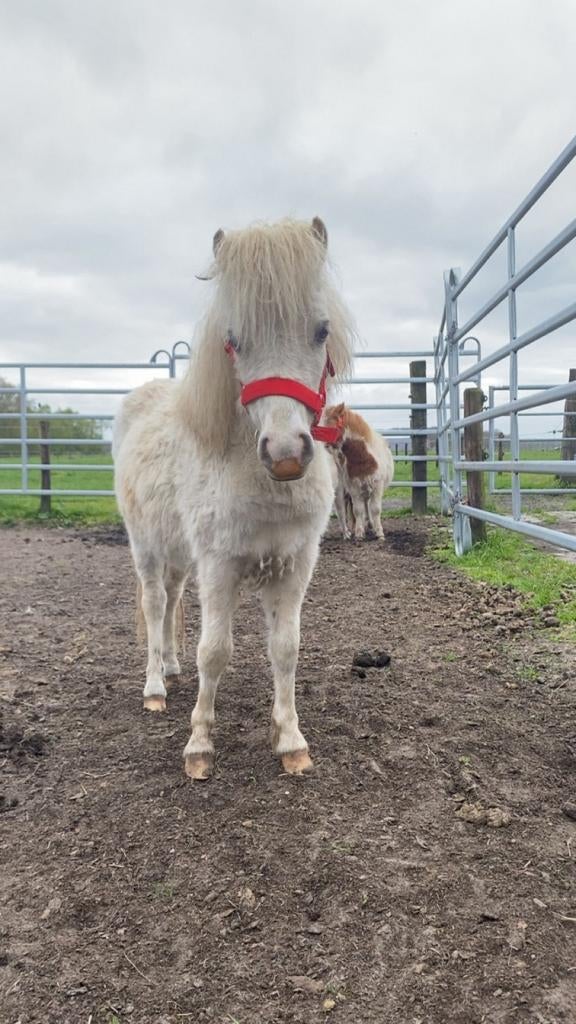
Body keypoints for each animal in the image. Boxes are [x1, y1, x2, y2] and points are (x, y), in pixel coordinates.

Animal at [113, 218, 355, 780]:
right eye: (233, 340)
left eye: (321, 331)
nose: (286, 453)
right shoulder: (219, 566)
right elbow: (215, 652)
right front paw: (199, 746)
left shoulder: (294, 565)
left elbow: (285, 649)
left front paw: (290, 741)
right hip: (146, 548)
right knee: (155, 604)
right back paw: (155, 687)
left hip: (181, 556)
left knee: (172, 600)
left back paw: (171, 669)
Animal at [322, 404, 394, 541]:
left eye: (331, 423)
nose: (323, 446)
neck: (363, 458)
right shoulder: (354, 487)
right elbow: (358, 510)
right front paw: (359, 533)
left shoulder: (377, 486)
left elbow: (375, 509)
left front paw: (379, 533)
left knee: (367, 505)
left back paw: (370, 525)